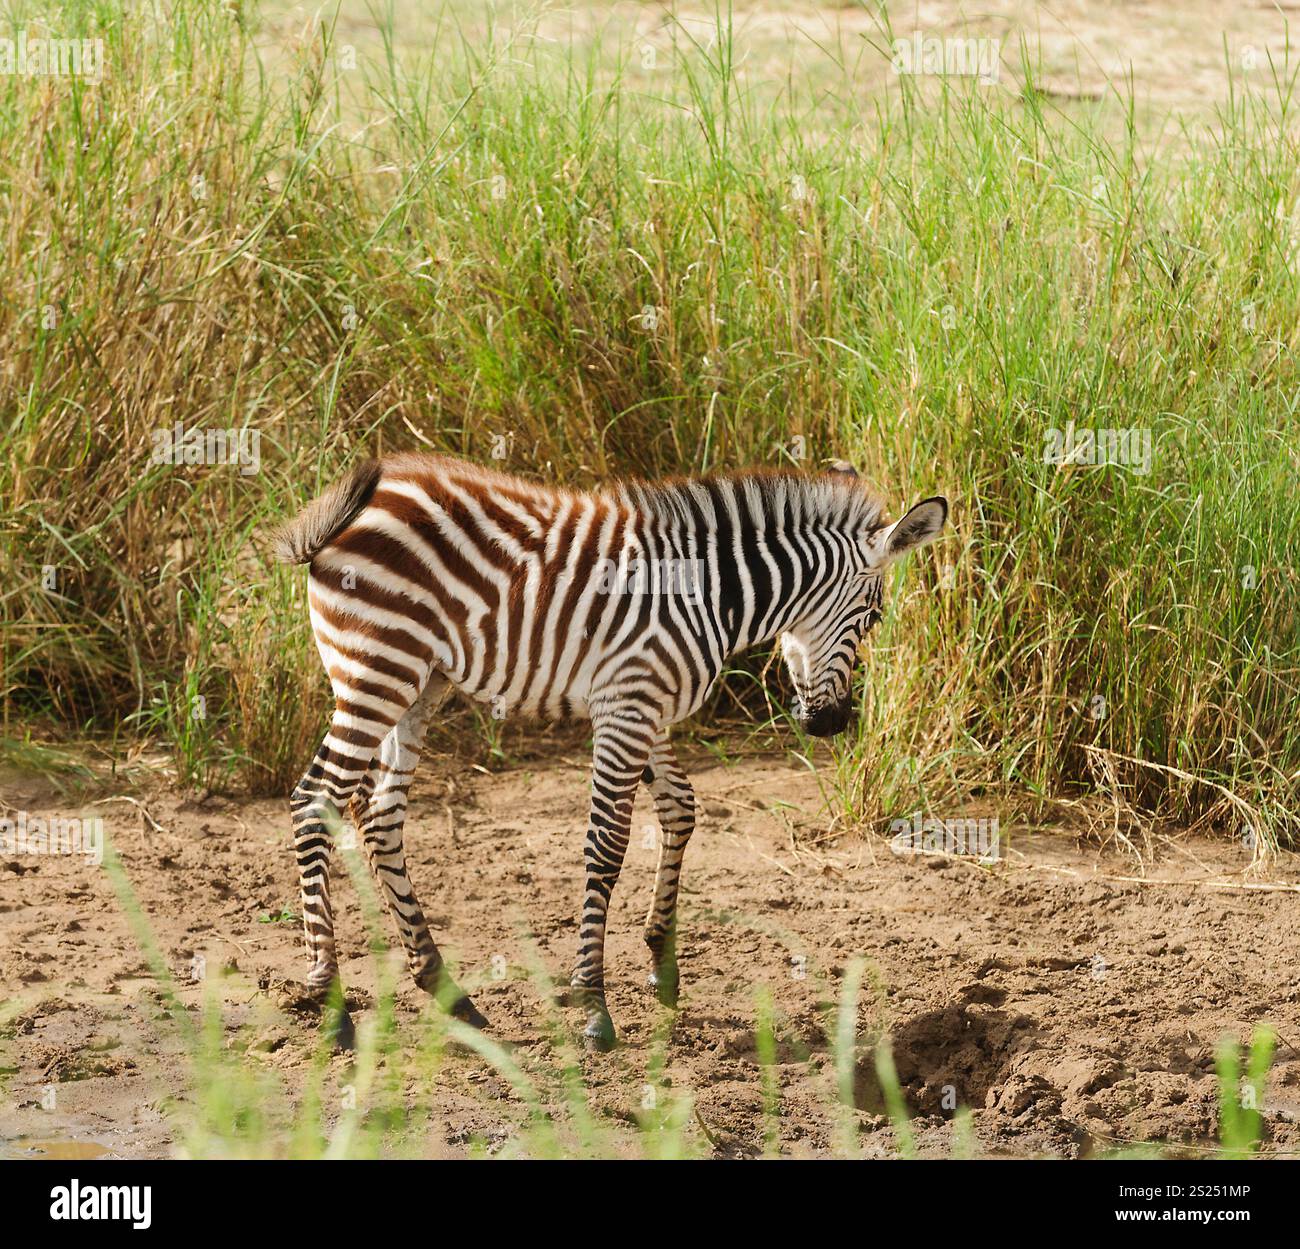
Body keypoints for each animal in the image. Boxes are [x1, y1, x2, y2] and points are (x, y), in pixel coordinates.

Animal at [274, 453, 947, 1049]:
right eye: (874, 618)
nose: (833, 724)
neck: (711, 594)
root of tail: (348, 512)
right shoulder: (628, 706)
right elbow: (607, 844)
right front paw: (593, 1003)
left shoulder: (645, 707)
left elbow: (681, 809)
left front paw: (662, 961)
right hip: (378, 672)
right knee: (315, 802)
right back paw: (332, 1005)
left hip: (419, 684)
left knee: (379, 816)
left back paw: (445, 988)